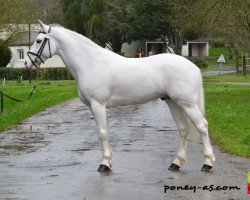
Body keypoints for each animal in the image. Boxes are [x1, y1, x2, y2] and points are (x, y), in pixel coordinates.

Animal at [24, 21, 215, 173]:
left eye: (39, 41)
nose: (27, 63)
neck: (91, 64)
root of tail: (193, 67)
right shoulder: (94, 107)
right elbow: (101, 133)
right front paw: (107, 161)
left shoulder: (98, 105)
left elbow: (102, 133)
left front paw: (104, 164)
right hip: (173, 102)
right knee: (183, 129)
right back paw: (176, 163)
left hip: (187, 104)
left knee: (202, 126)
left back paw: (207, 163)